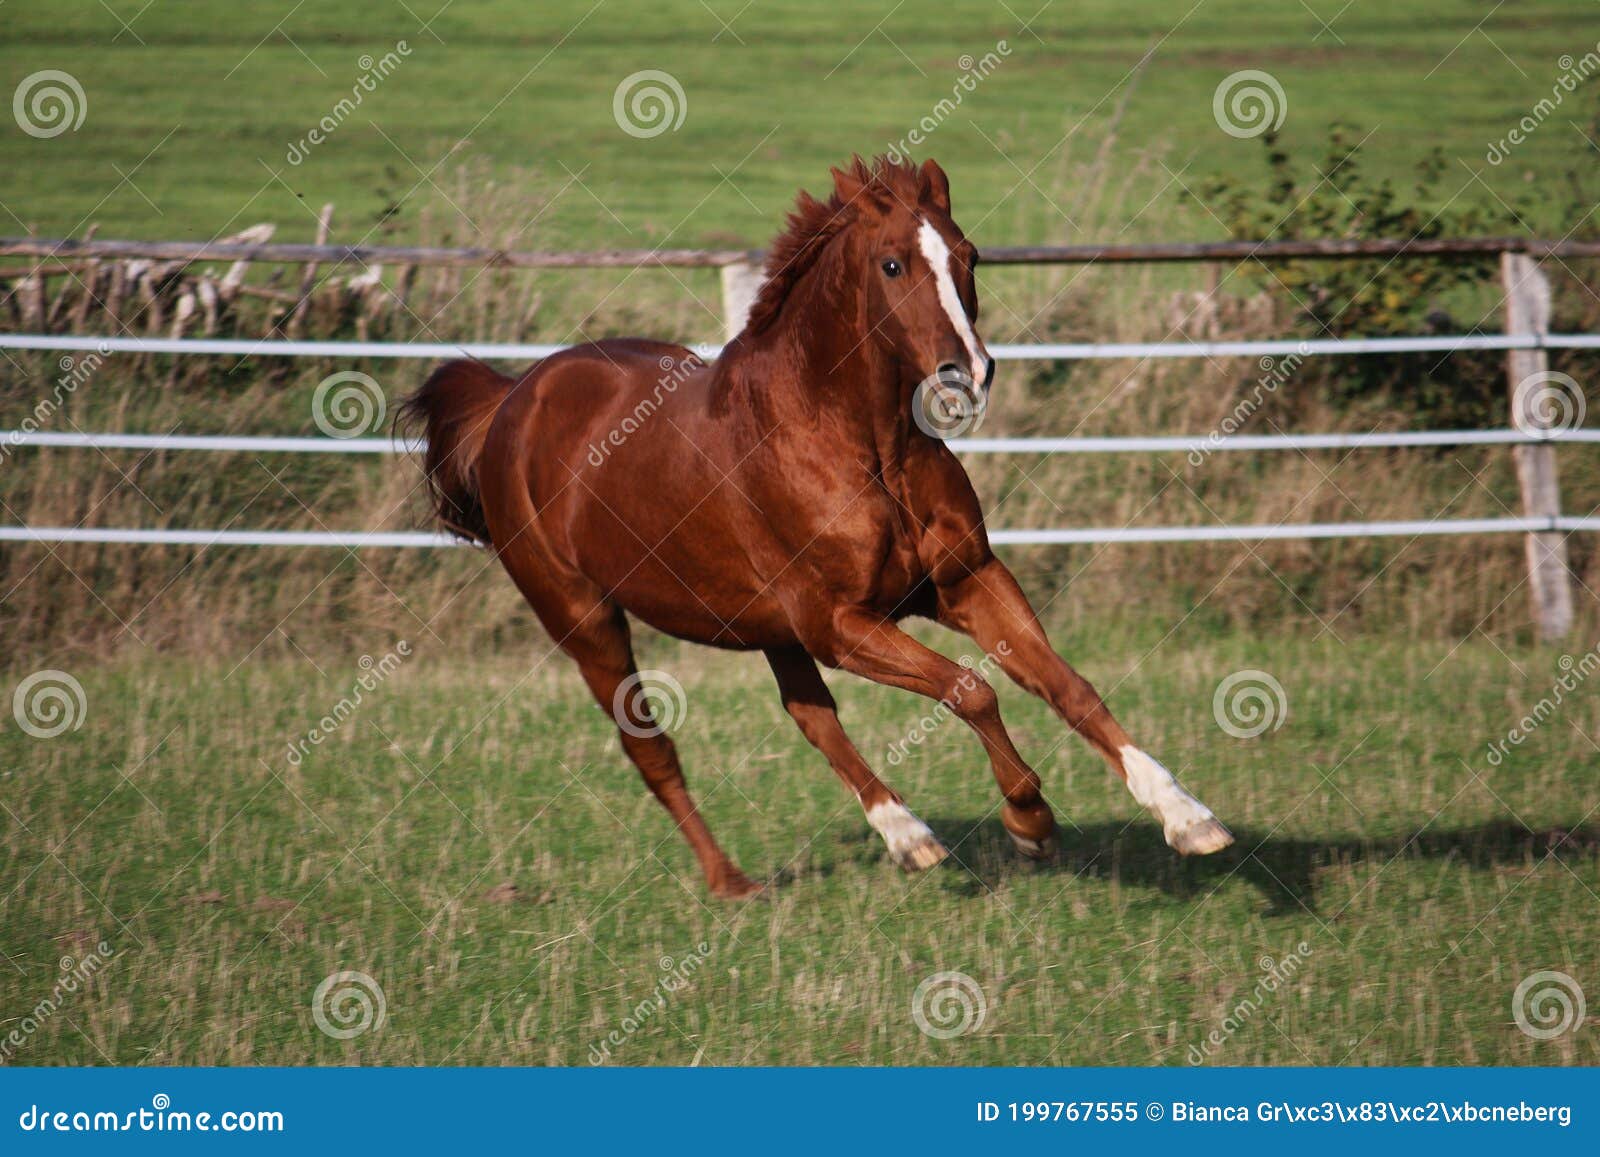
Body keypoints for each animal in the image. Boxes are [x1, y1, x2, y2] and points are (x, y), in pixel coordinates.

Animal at [406, 156, 1228, 896]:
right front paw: (1031, 821)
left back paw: (907, 837)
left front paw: (1188, 817)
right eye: (892, 264)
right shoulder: (840, 623)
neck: (858, 447)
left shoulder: (966, 583)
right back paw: (734, 883)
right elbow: (970, 690)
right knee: (654, 749)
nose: (967, 375)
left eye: (969, 256)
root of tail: (513, 398)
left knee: (810, 716)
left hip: (768, 626)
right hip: (587, 623)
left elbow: (1068, 685)